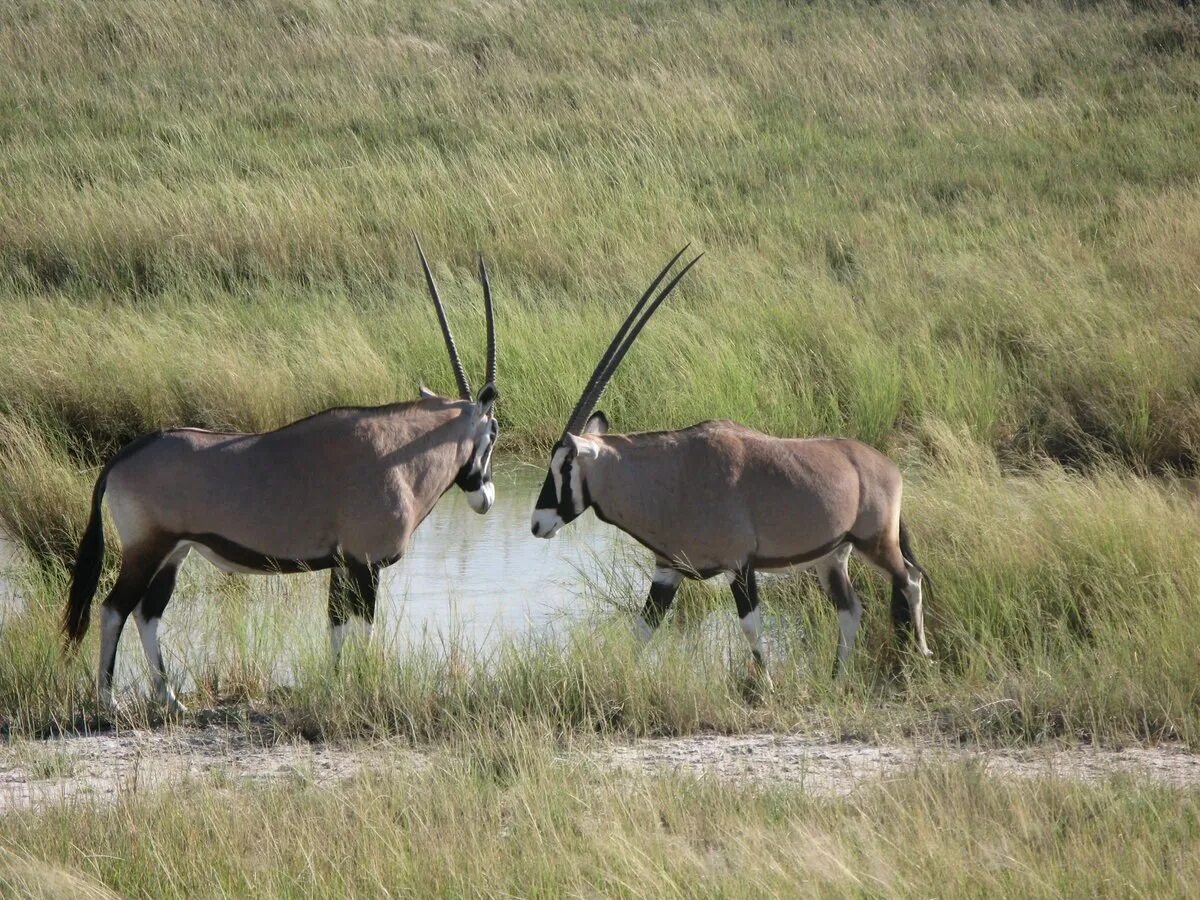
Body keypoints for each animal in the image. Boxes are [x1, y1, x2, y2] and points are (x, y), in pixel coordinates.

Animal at [63, 237, 504, 710]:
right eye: (493, 431)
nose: (486, 498)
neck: (400, 455)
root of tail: (124, 456)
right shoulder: (365, 564)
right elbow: (364, 628)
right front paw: (367, 685)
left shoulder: (341, 564)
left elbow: (336, 626)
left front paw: (334, 685)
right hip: (147, 549)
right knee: (114, 609)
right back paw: (107, 700)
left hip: (173, 553)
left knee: (148, 614)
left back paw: (170, 699)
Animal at [530, 247, 931, 676]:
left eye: (565, 465)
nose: (537, 524)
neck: (670, 475)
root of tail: (886, 466)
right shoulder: (667, 571)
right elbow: (643, 631)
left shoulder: (740, 565)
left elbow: (751, 628)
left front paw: (767, 684)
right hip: (832, 557)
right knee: (851, 611)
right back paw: (837, 678)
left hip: (876, 542)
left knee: (910, 580)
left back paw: (923, 655)